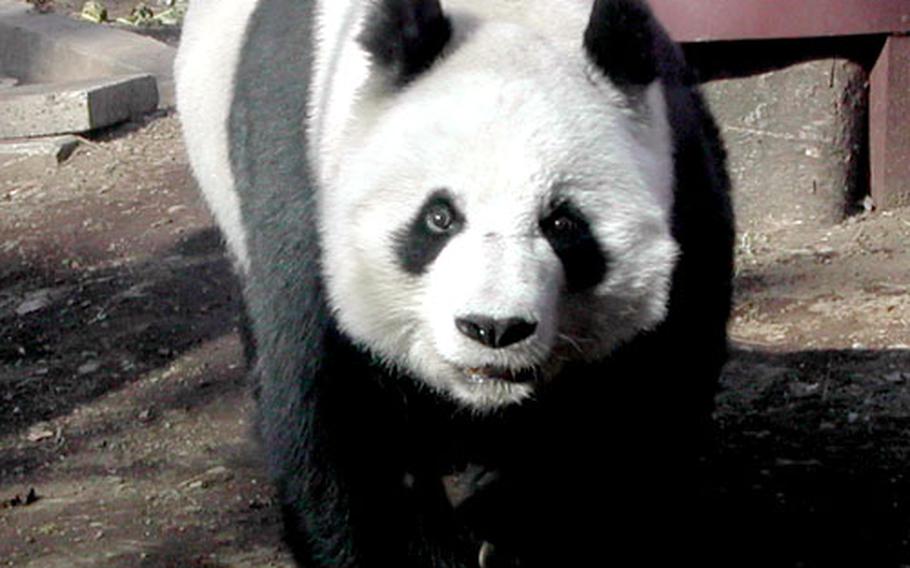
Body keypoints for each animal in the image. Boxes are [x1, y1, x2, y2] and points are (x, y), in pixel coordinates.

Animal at [176, 0, 732, 564]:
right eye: (439, 217)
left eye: (562, 223)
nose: (494, 329)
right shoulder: (312, 190)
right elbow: (338, 422)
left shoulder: (683, 182)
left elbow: (642, 414)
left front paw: (518, 527)